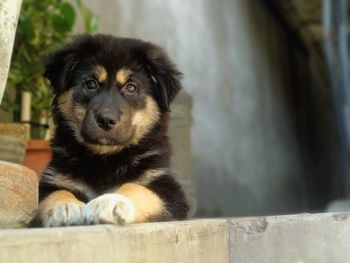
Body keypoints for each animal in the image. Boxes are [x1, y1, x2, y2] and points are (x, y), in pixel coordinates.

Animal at [29, 34, 189, 228]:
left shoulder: (166, 188)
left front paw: (111, 201)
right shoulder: (52, 180)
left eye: (131, 87)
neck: (105, 157)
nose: (106, 120)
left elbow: (136, 187)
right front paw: (66, 207)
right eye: (91, 84)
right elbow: (56, 193)